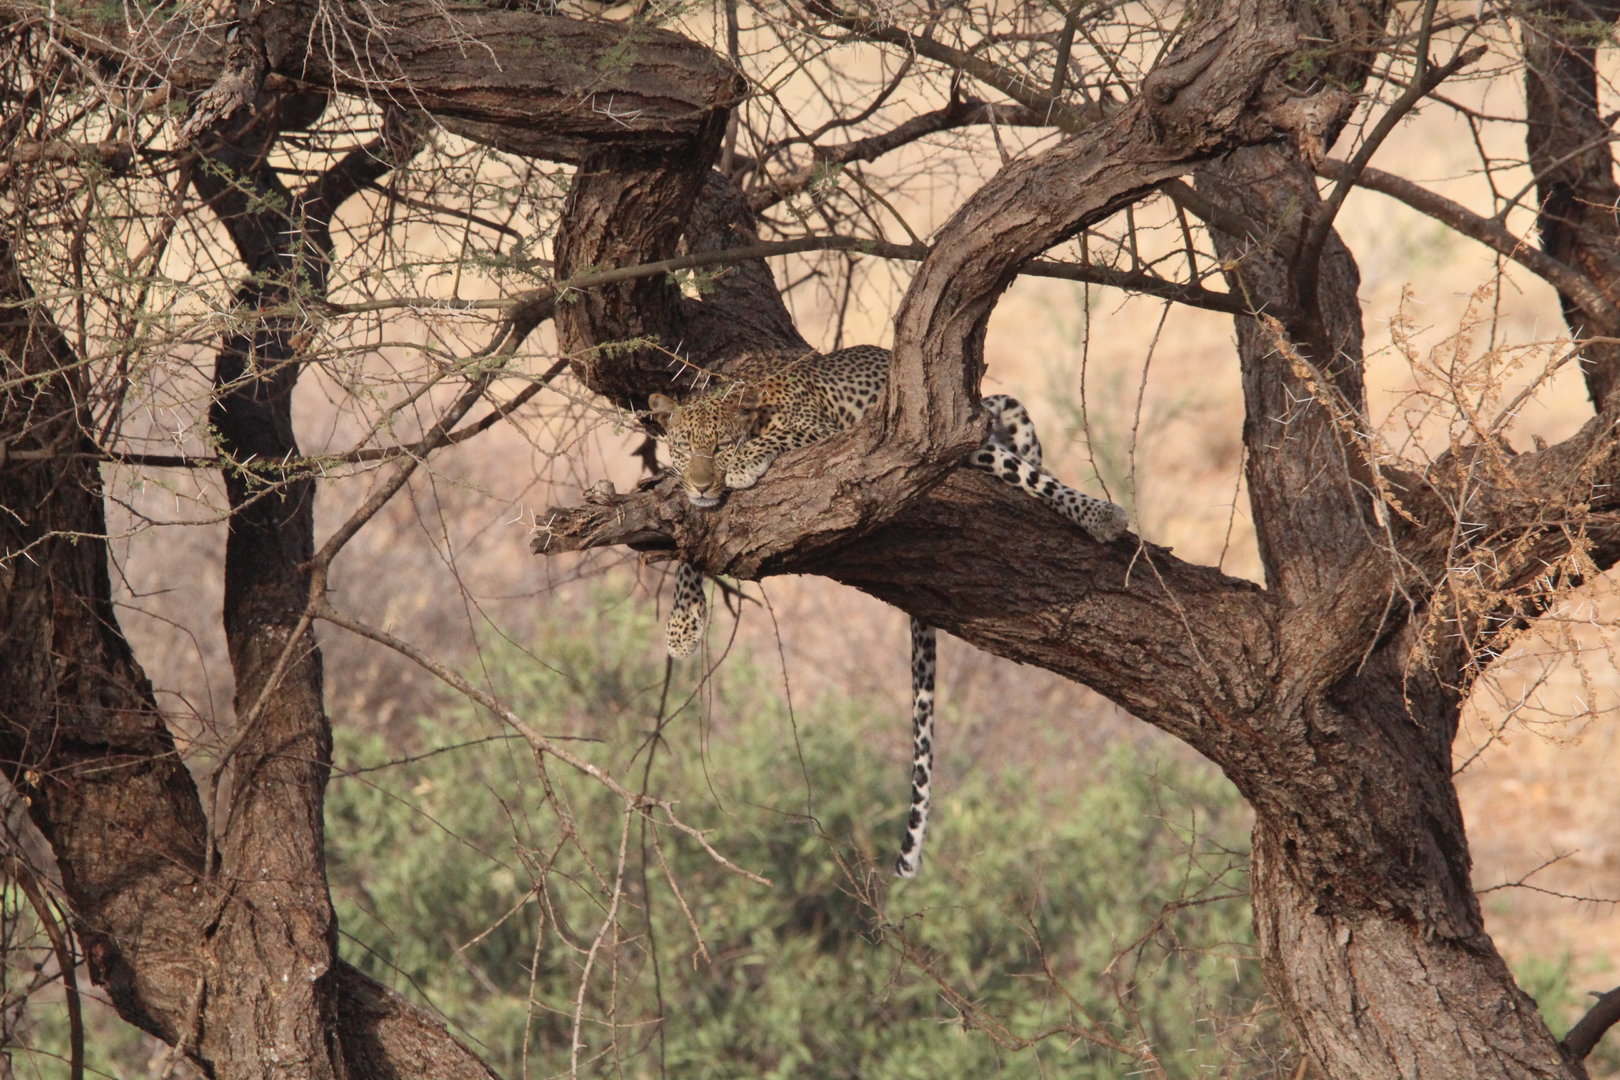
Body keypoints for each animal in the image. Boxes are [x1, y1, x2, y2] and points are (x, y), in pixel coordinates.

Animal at [649, 345, 1127, 877]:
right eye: (683, 448)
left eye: (721, 446)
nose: (702, 483)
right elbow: (689, 547)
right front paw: (682, 625)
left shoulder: (820, 430)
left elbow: (777, 438)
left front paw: (744, 464)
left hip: (977, 434)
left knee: (1032, 472)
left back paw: (1101, 515)